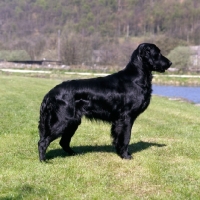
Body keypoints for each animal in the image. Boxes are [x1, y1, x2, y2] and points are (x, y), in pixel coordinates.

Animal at [38, 42, 172, 161]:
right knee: (43, 141)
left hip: (73, 122)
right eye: (157, 53)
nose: (170, 63)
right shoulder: (126, 117)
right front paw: (126, 156)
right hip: (63, 120)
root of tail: (50, 93)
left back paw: (74, 154)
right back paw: (43, 160)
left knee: (63, 142)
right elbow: (126, 138)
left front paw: (121, 153)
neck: (136, 78)